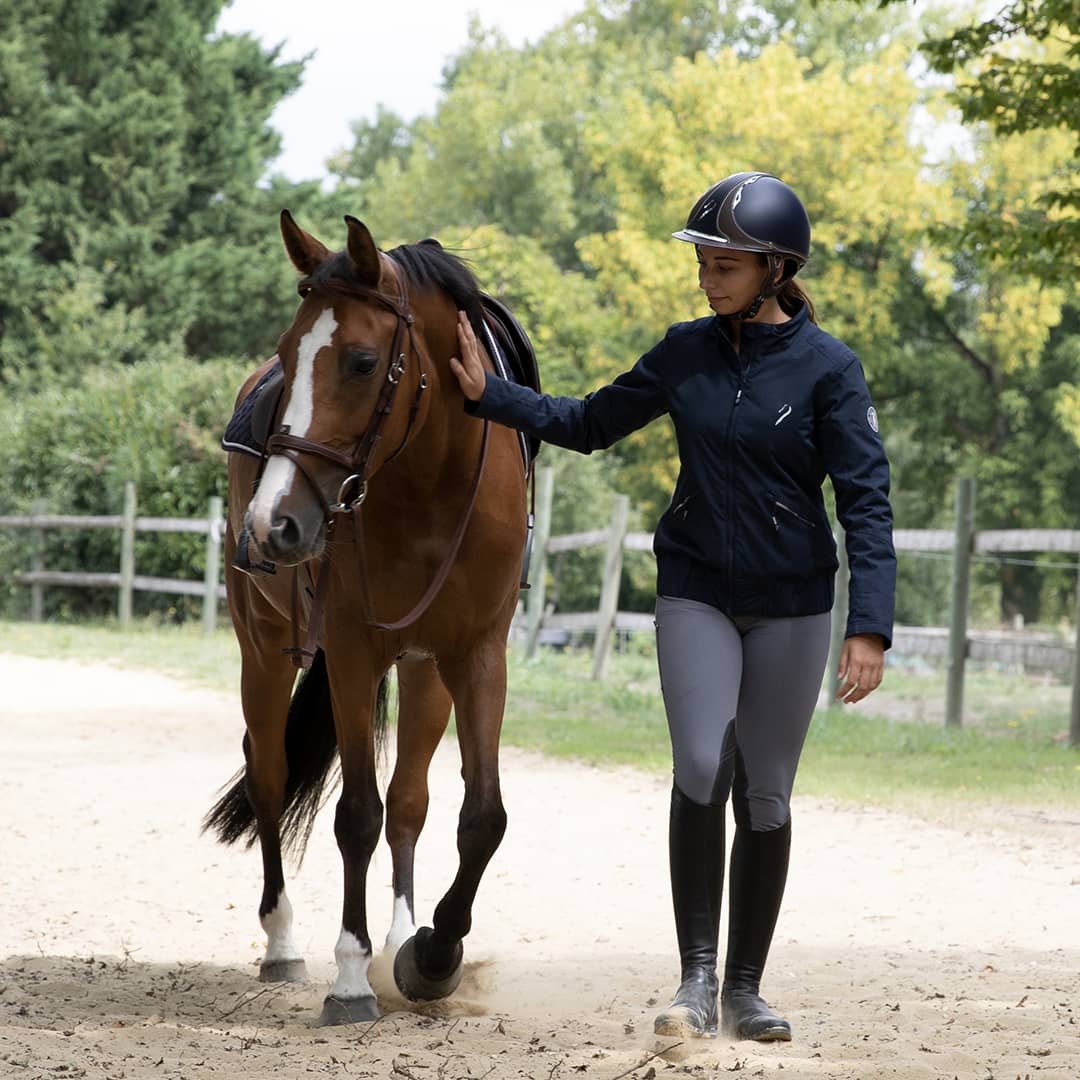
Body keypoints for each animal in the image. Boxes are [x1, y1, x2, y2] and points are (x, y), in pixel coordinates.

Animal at [203, 210, 531, 1028]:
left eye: (359, 361)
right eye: (291, 352)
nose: (273, 524)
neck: (428, 487)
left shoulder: (475, 656)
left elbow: (479, 816)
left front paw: (431, 957)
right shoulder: (350, 654)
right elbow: (356, 813)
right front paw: (351, 980)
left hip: (422, 672)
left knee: (410, 802)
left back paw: (400, 936)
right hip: (263, 649)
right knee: (268, 774)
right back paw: (283, 942)